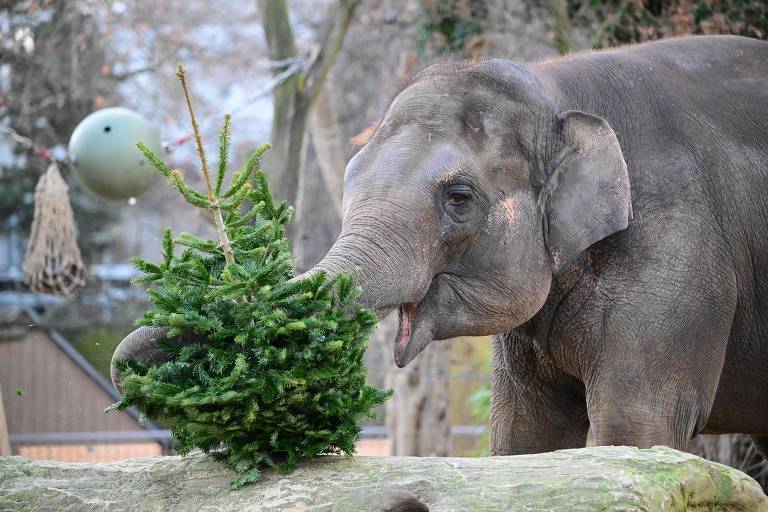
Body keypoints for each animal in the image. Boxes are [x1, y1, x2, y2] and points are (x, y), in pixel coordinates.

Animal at [112, 37, 768, 460]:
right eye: (349, 176)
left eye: (458, 196)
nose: (135, 368)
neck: (555, 84)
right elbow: (526, 436)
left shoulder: (679, 248)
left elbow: (635, 423)